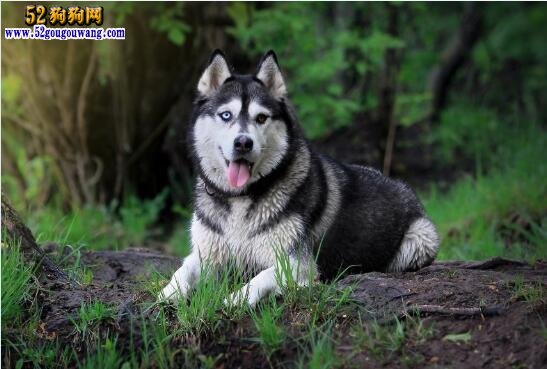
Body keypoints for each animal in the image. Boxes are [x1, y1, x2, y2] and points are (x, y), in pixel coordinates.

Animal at [159, 50, 440, 306]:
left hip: (420, 239)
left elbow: (261, 277)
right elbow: (183, 270)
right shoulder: (206, 255)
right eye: (226, 115)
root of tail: (403, 186)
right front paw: (168, 293)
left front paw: (235, 299)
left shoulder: (297, 264)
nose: (243, 143)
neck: (241, 198)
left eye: (261, 117)